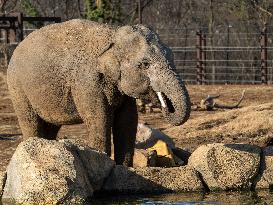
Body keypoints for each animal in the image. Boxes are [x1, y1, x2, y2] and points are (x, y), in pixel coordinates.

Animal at [7, 19, 190, 167]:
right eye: (145, 64)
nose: (166, 105)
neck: (113, 34)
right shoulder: (86, 82)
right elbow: (100, 119)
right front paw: (104, 163)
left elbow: (128, 120)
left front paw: (124, 168)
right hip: (17, 87)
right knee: (30, 121)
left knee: (50, 125)